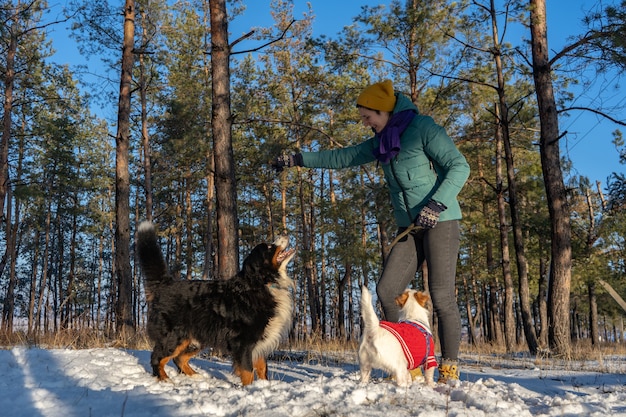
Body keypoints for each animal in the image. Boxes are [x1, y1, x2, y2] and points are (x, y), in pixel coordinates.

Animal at [136, 219, 294, 386]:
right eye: (269, 247)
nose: (284, 233)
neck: (262, 283)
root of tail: (166, 284)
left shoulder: (261, 340)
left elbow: (263, 368)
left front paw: (263, 386)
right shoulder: (243, 342)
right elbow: (247, 371)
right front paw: (250, 388)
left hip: (196, 339)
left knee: (179, 358)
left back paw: (196, 376)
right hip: (173, 337)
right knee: (157, 358)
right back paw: (165, 379)